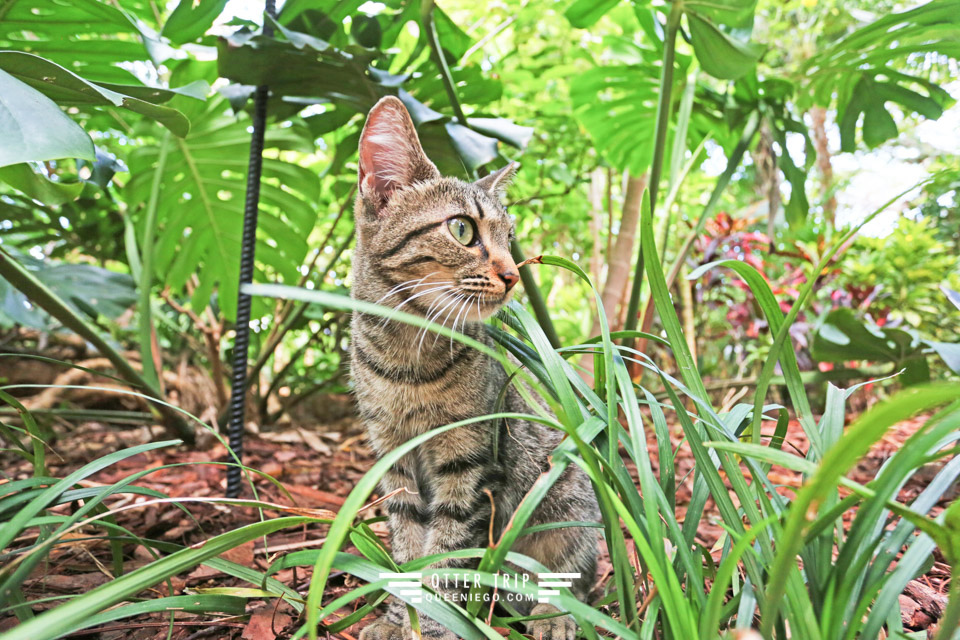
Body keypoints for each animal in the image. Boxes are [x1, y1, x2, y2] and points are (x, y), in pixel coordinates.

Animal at [348, 96, 596, 640]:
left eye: (509, 238)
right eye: (462, 229)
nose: (513, 274)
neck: (408, 358)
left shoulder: (471, 461)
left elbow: (445, 554)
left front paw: (434, 623)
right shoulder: (393, 457)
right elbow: (408, 545)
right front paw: (399, 618)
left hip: (566, 498)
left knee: (577, 573)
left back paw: (553, 615)